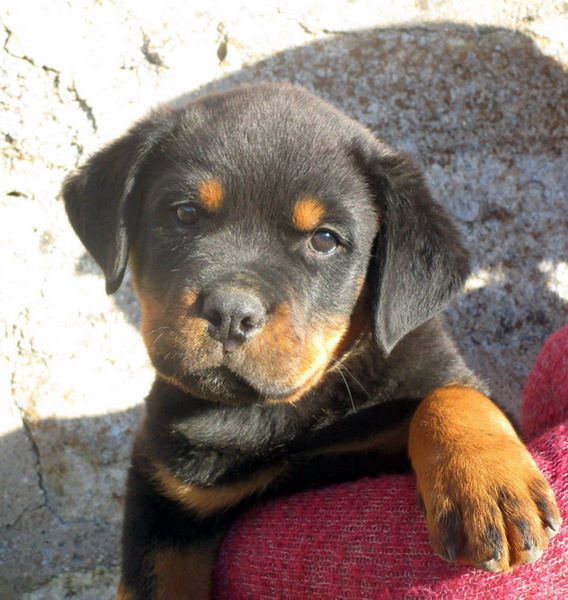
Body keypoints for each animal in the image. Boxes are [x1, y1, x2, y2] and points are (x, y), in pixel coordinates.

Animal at [63, 83, 561, 599]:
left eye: (324, 239)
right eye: (185, 214)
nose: (231, 312)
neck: (272, 411)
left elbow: (452, 394)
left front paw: (489, 486)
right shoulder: (164, 491)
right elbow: (155, 578)